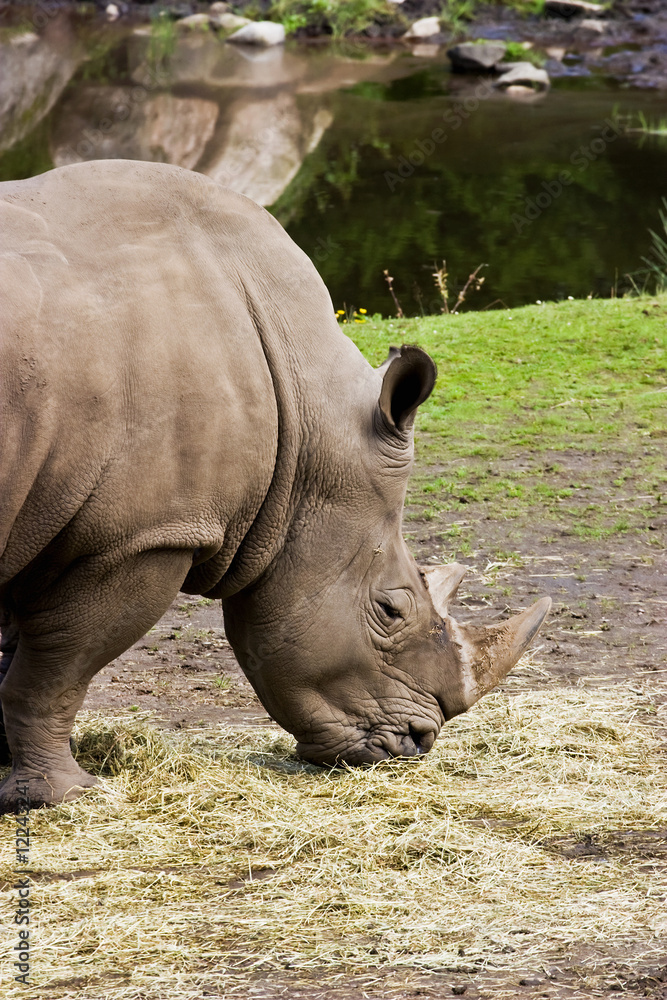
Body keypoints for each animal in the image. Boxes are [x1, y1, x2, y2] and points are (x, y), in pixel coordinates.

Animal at [0, 160, 550, 812]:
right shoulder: (142, 536)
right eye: (391, 609)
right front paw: (60, 798)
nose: (418, 742)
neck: (304, 421)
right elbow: (57, 666)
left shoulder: (39, 511)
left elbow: (16, 656)